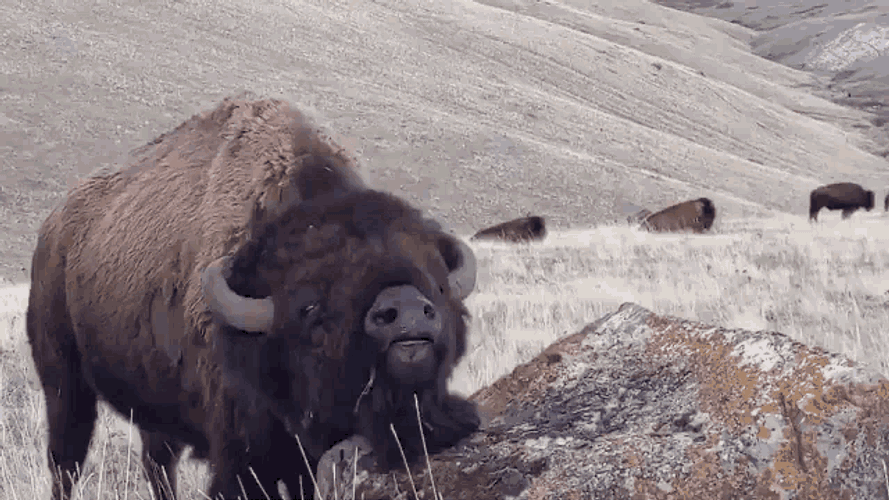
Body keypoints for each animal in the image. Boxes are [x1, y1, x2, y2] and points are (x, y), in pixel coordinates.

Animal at [27, 94, 479, 500]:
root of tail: (52, 228)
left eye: (438, 285)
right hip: (63, 382)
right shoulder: (244, 458)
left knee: (157, 463)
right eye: (311, 308)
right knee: (66, 462)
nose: (406, 311)